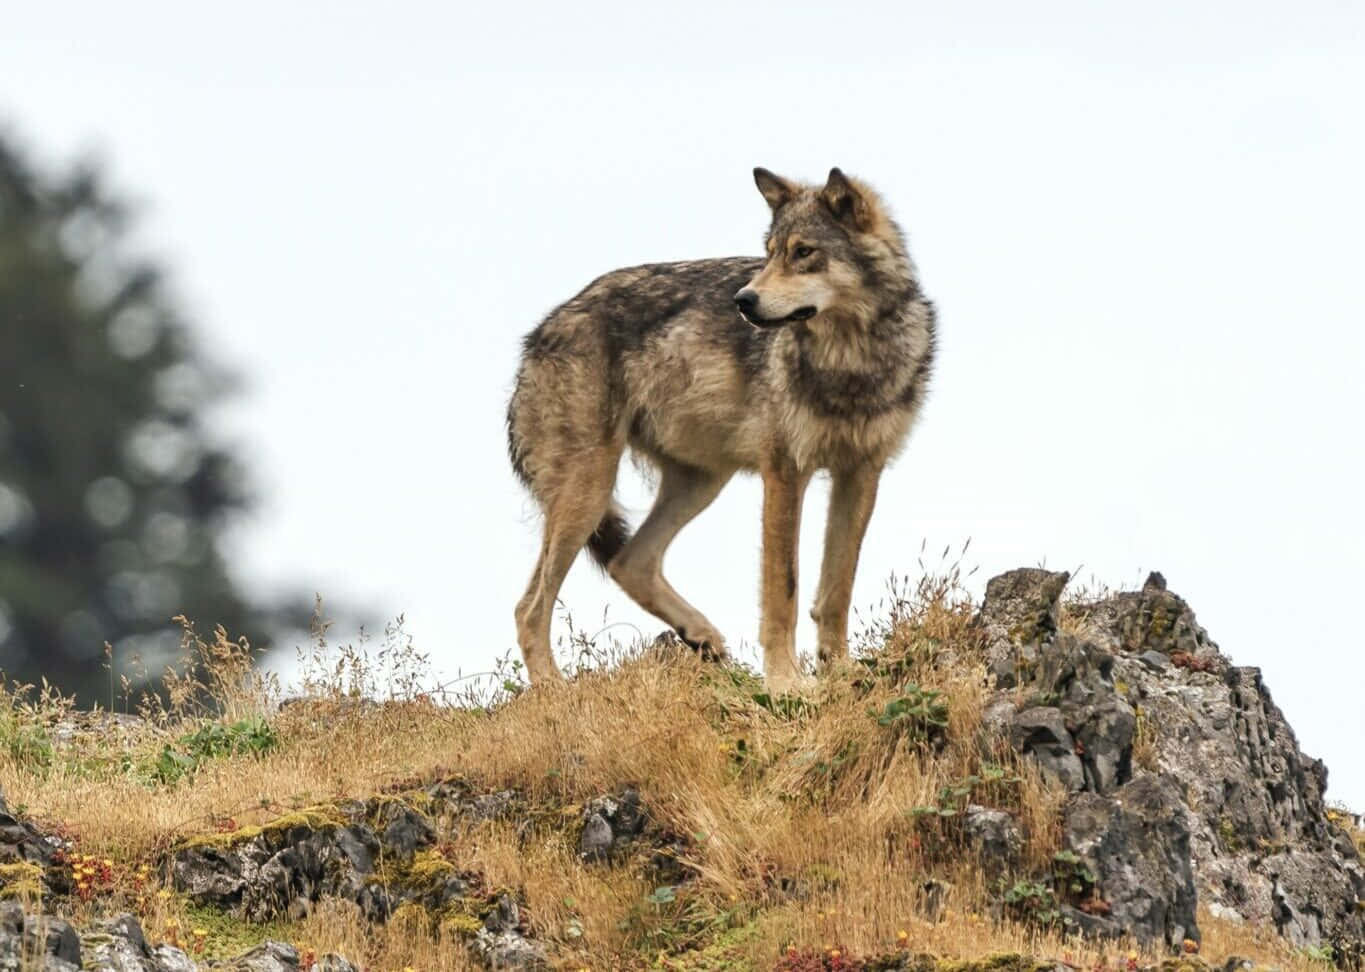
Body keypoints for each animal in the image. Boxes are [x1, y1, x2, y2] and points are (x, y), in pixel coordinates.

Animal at [507, 169, 933, 690]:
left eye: (803, 252)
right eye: (768, 252)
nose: (743, 301)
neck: (849, 362)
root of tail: (537, 336)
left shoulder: (861, 473)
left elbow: (836, 589)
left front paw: (841, 672)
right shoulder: (785, 473)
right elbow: (783, 591)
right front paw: (786, 683)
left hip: (700, 482)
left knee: (629, 563)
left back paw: (703, 636)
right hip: (588, 493)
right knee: (530, 607)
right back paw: (554, 689)